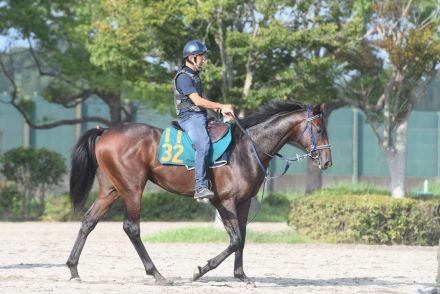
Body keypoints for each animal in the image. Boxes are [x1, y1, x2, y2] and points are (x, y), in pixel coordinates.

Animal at [67, 99, 332, 284]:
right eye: (319, 130)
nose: (327, 162)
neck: (247, 148)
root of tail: (106, 131)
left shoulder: (244, 202)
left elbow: (242, 238)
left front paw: (240, 275)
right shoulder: (225, 202)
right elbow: (235, 240)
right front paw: (201, 270)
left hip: (111, 190)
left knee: (88, 221)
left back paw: (73, 268)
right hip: (132, 190)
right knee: (131, 228)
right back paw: (157, 274)